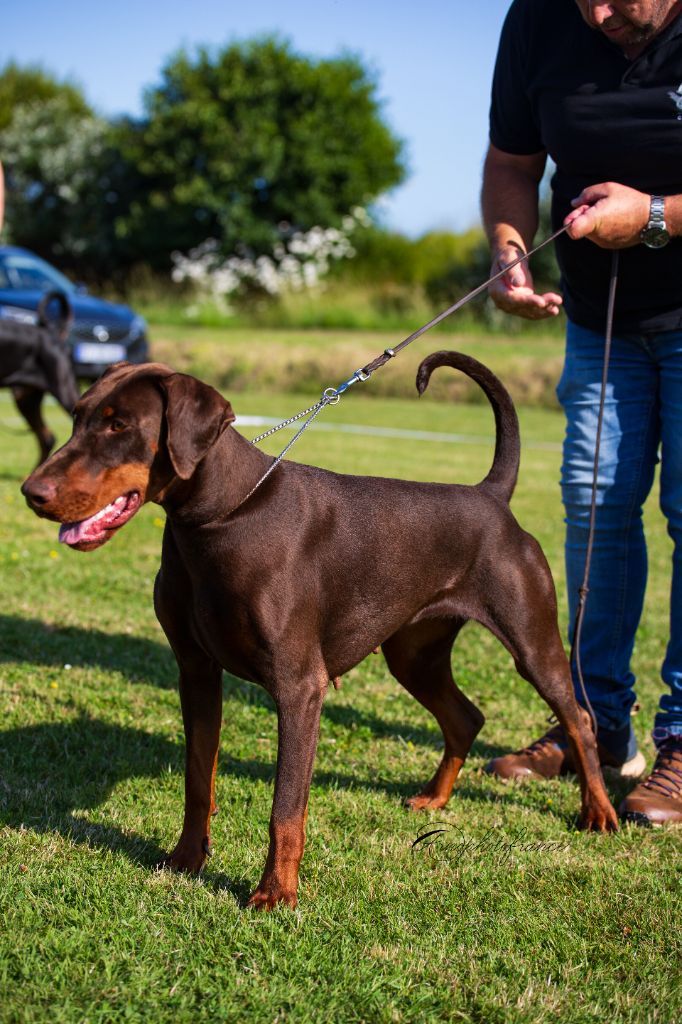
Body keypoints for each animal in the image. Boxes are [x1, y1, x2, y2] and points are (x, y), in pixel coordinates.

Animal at [19, 356, 614, 909]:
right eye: (77, 417)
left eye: (120, 426)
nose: (31, 491)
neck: (222, 516)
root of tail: (491, 495)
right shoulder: (195, 672)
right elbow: (197, 777)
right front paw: (187, 859)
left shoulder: (299, 687)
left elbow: (285, 806)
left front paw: (275, 893)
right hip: (413, 654)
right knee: (465, 717)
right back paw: (434, 800)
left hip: (531, 639)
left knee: (579, 719)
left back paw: (599, 812)